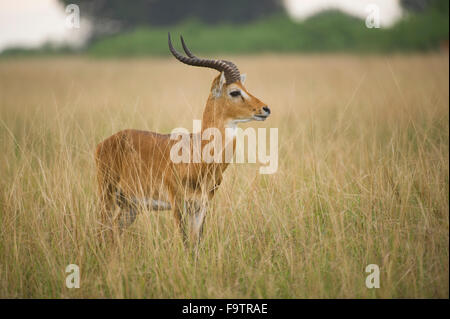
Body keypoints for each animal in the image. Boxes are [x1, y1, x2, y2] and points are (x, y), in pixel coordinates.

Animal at [95, 34, 270, 245]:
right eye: (235, 91)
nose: (265, 109)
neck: (198, 154)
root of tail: (104, 143)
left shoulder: (201, 205)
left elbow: (196, 243)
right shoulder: (177, 204)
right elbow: (185, 242)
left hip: (130, 206)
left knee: (112, 232)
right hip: (107, 196)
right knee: (101, 231)